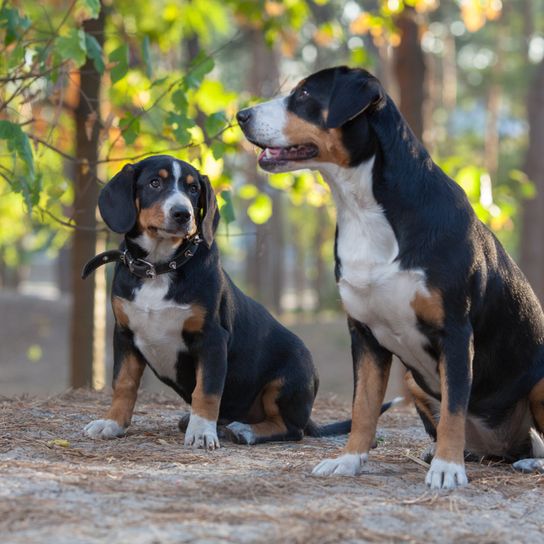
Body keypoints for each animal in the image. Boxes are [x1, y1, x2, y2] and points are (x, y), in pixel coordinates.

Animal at [83, 155, 394, 448]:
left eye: (193, 189)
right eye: (154, 183)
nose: (182, 214)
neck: (159, 268)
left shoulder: (212, 338)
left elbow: (206, 391)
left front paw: (202, 432)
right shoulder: (124, 334)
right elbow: (123, 384)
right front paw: (112, 424)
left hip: (287, 379)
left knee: (291, 429)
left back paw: (245, 431)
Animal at [237, 65, 544, 488]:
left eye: (304, 95)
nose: (241, 115)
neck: (364, 210)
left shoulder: (455, 331)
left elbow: (454, 408)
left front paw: (447, 469)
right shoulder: (364, 334)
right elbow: (363, 407)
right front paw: (349, 460)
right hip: (416, 383)